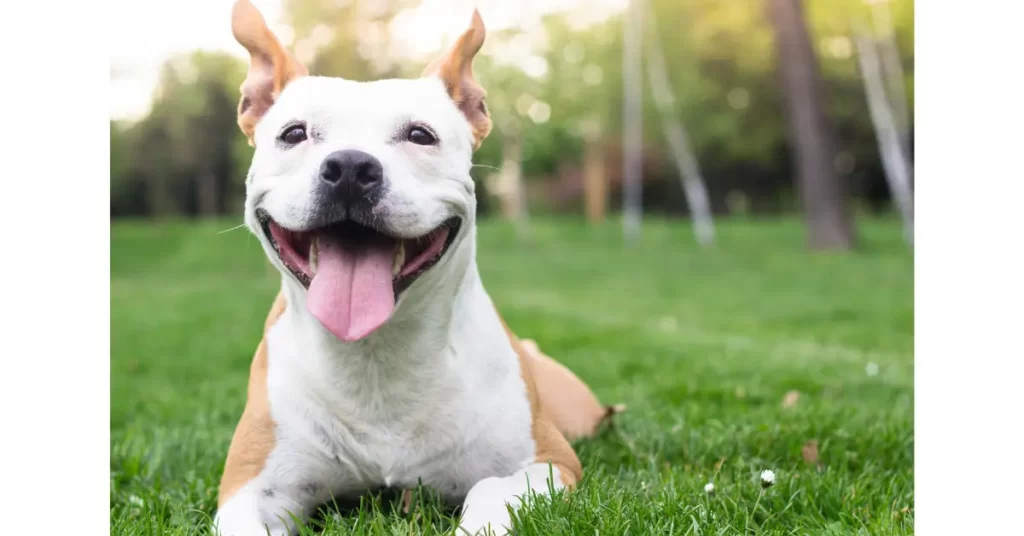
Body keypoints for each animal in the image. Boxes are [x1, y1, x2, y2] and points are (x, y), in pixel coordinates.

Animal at [211, 2, 618, 532]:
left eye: (420, 135)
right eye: (294, 133)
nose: (349, 167)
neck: (375, 355)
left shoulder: (548, 462)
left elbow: (489, 490)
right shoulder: (248, 486)